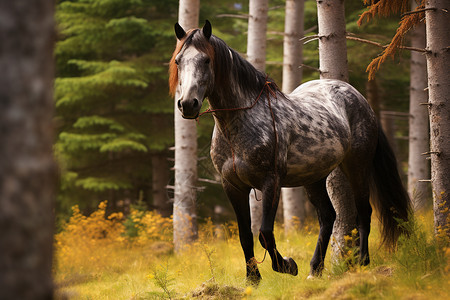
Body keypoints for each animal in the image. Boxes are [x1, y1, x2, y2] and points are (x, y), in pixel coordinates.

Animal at [170, 19, 412, 282]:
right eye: (178, 61)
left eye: (206, 60)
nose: (187, 104)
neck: (239, 124)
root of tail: (359, 98)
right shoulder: (233, 186)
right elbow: (245, 235)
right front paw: (253, 279)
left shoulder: (271, 182)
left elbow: (265, 233)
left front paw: (287, 265)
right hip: (313, 177)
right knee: (328, 217)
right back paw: (315, 269)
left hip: (357, 166)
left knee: (364, 213)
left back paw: (362, 262)